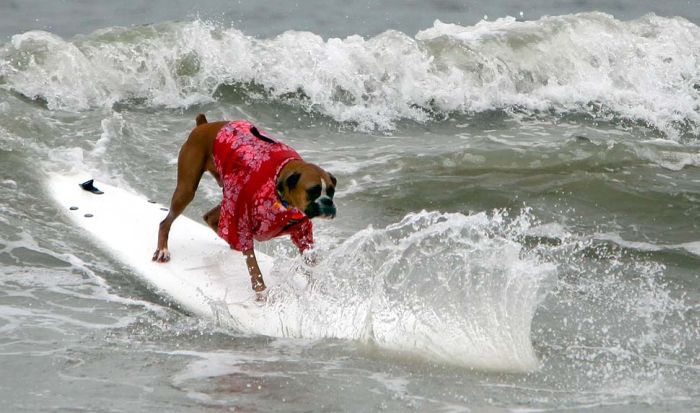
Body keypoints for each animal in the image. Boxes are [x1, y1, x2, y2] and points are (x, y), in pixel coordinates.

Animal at [154, 112, 340, 294]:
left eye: (331, 191)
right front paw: (262, 293)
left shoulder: (302, 232)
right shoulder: (240, 225)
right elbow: (254, 267)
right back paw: (162, 250)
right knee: (165, 222)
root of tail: (204, 125)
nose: (328, 203)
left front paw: (317, 285)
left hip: (228, 198)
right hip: (188, 191)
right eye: (313, 191)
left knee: (210, 217)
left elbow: (311, 260)